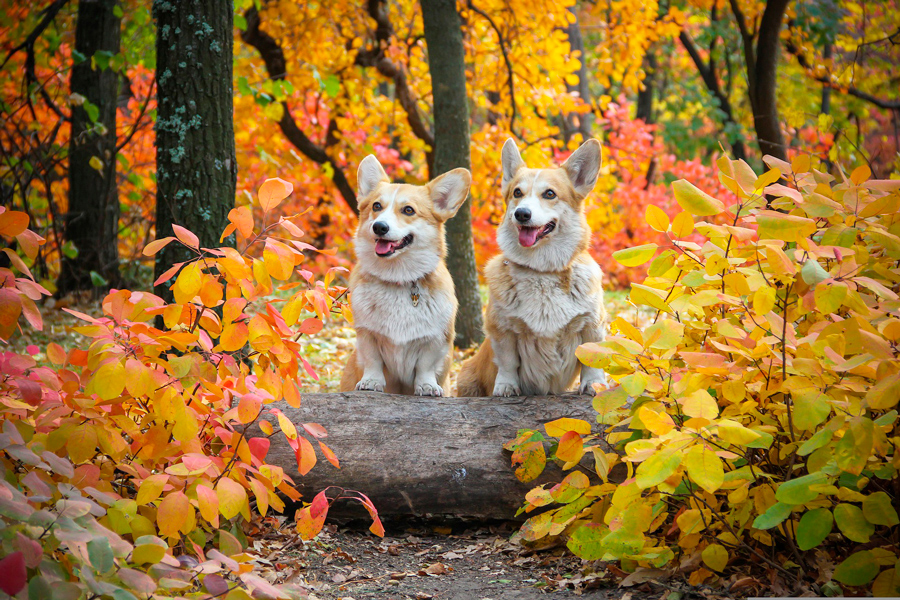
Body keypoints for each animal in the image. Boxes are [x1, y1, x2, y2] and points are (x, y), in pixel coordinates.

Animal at [340, 157, 472, 396]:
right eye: (376, 206)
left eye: (408, 210)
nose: (379, 227)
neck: (398, 278)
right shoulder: (367, 335)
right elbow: (373, 361)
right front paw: (371, 382)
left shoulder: (436, 340)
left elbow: (426, 366)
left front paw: (427, 386)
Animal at [460, 138, 608, 396]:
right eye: (517, 193)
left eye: (549, 194)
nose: (522, 214)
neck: (542, 272)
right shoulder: (502, 329)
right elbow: (508, 362)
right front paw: (506, 387)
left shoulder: (592, 323)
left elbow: (592, 358)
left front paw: (594, 385)